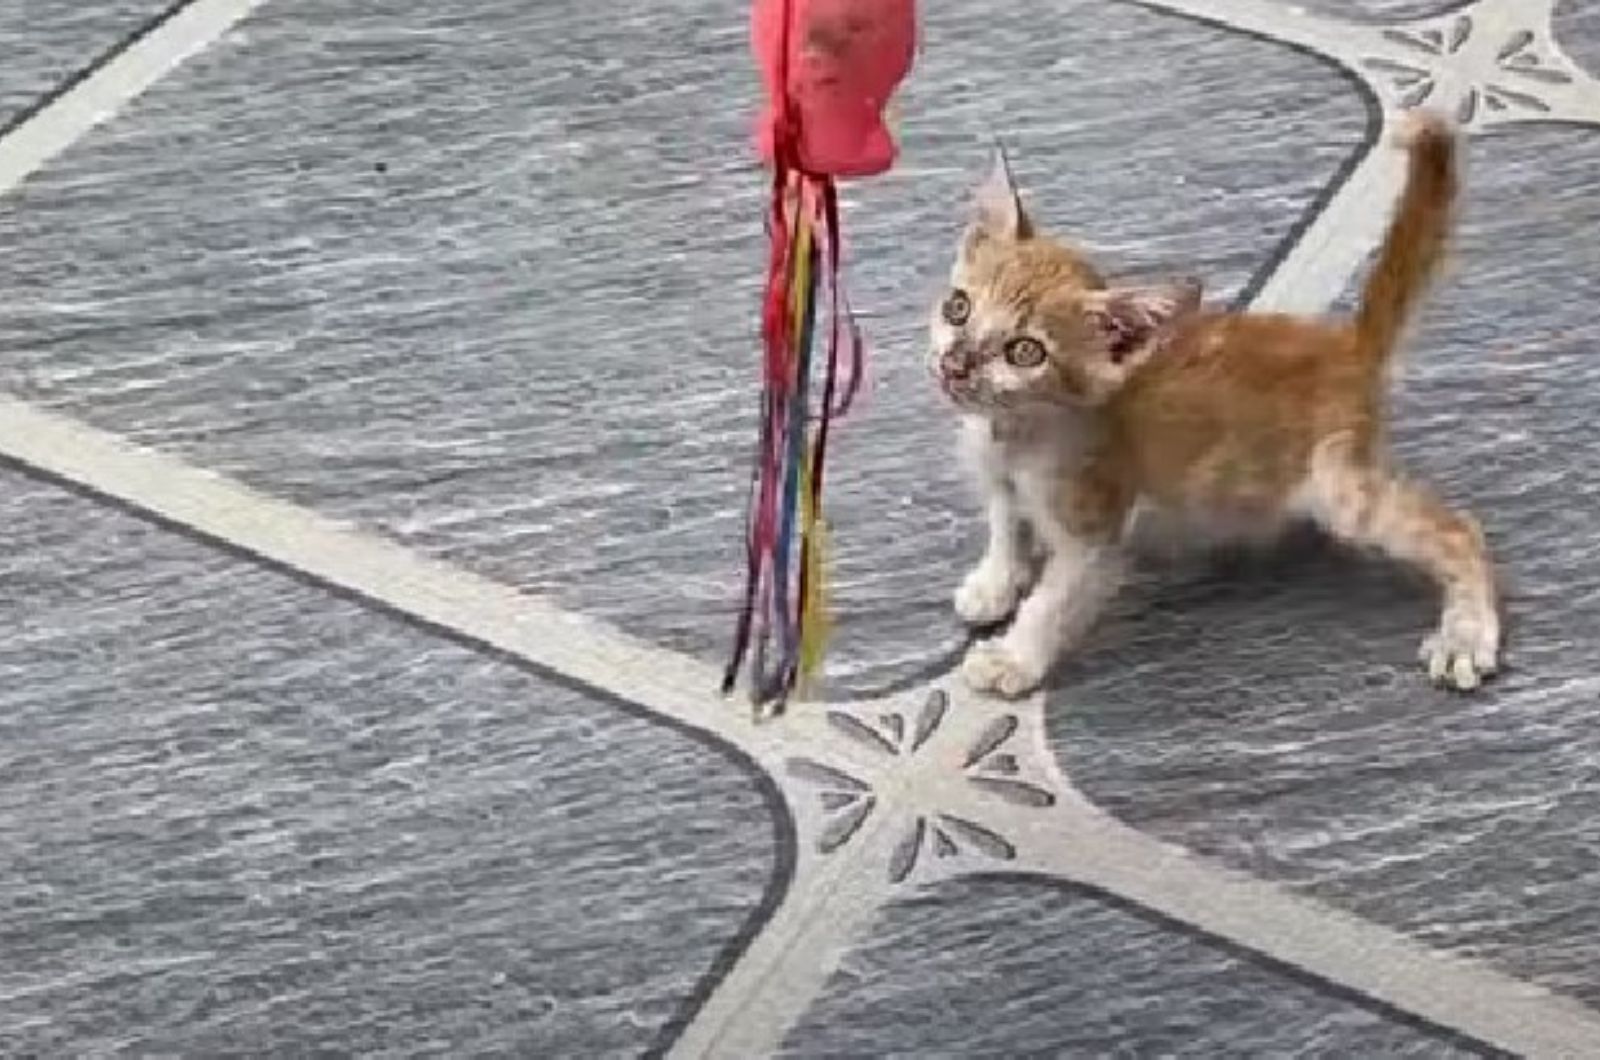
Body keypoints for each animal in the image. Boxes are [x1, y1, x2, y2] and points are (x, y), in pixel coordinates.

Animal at [928, 114, 1497, 698]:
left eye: (1025, 351)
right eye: (958, 308)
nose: (956, 364)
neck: (1013, 433)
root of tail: (1347, 343)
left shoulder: (1093, 533)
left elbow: (1050, 603)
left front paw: (1013, 658)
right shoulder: (1001, 479)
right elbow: (1006, 525)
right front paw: (995, 581)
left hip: (1338, 489)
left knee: (1458, 529)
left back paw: (1466, 634)